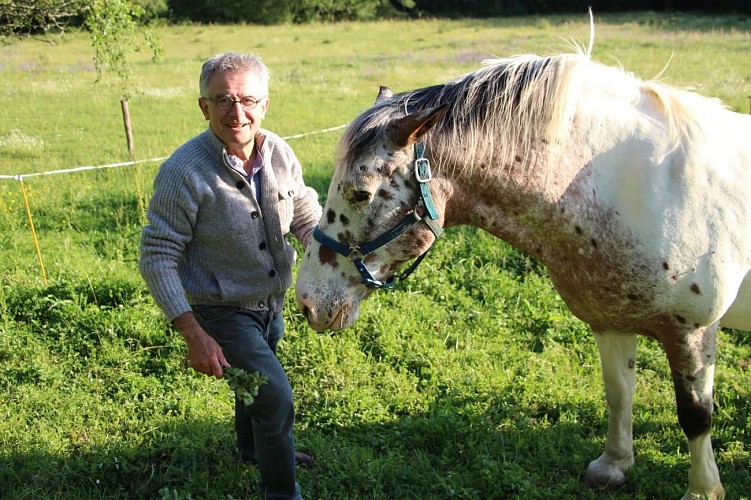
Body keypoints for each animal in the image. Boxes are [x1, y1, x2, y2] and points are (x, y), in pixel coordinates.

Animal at [294, 38, 751, 499]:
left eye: (360, 193)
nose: (308, 303)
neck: (633, 188)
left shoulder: (692, 331)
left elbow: (695, 416)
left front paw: (703, 489)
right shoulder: (610, 320)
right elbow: (619, 393)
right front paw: (614, 465)